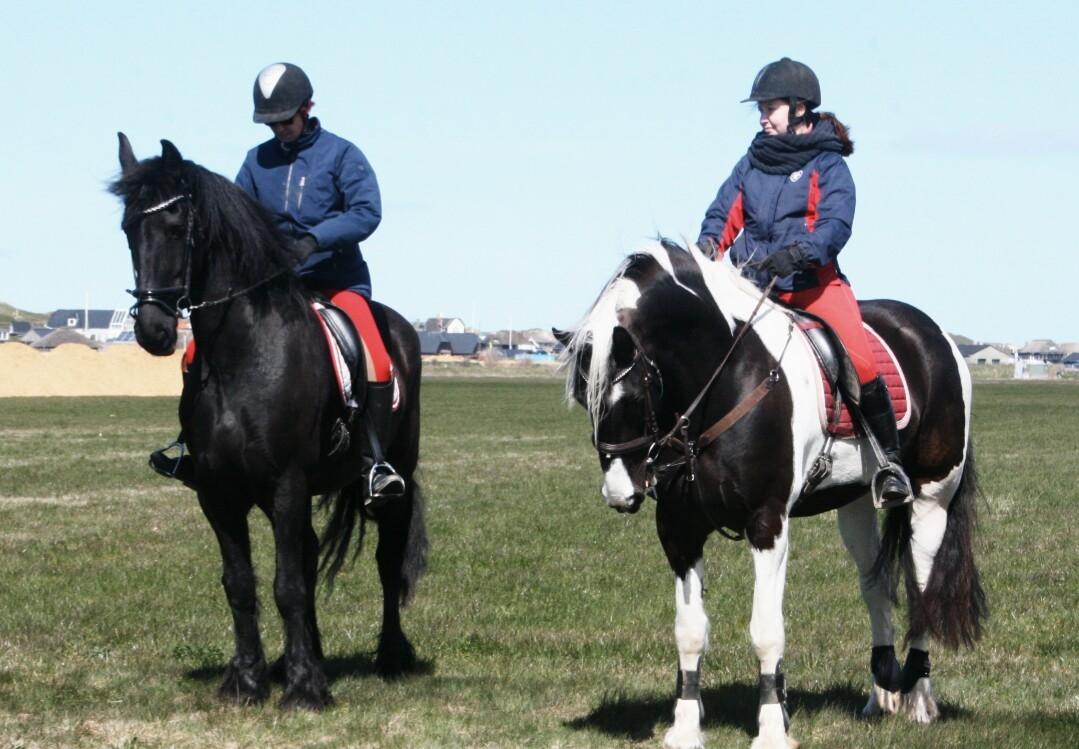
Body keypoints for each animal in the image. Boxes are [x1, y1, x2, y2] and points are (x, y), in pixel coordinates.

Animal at [112, 136, 425, 707]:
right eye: (128, 229)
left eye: (175, 227)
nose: (154, 331)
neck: (244, 354)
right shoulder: (218, 491)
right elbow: (242, 584)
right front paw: (249, 679)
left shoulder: (287, 483)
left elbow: (287, 584)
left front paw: (304, 690)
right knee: (307, 555)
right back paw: (307, 658)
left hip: (396, 479)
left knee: (387, 561)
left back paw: (390, 655)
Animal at [556, 240, 988, 749]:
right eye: (584, 397)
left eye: (630, 397)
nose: (619, 493)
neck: (723, 383)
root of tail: (935, 335)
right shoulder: (679, 531)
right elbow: (689, 631)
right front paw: (685, 727)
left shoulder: (767, 524)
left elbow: (766, 631)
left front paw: (771, 728)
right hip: (856, 504)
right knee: (876, 584)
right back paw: (881, 693)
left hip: (931, 499)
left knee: (922, 589)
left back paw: (919, 698)